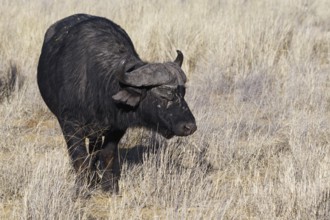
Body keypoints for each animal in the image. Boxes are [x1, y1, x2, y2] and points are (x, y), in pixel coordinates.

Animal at [36, 13, 196, 192]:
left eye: (183, 93)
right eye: (164, 95)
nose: (190, 127)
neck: (98, 86)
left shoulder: (117, 127)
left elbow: (107, 154)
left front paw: (108, 186)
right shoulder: (70, 125)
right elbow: (79, 156)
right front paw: (82, 187)